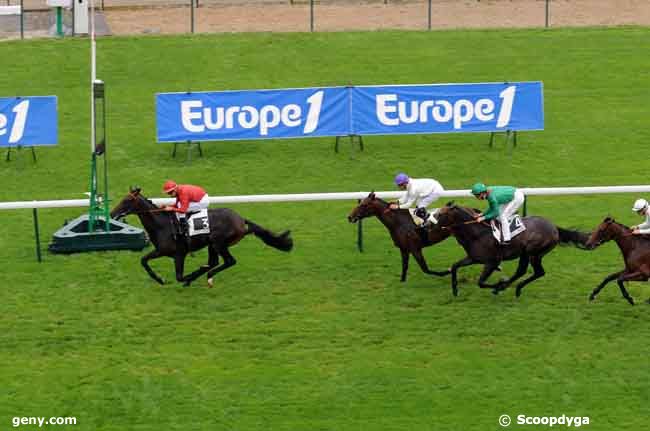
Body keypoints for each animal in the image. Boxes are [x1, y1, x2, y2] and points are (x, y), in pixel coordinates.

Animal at [110, 188, 292, 286]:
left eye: (126, 200)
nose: (112, 214)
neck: (163, 225)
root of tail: (241, 220)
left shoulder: (179, 253)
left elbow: (180, 276)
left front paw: (188, 278)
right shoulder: (161, 251)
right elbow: (143, 260)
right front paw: (159, 279)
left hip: (219, 243)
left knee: (228, 261)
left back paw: (208, 276)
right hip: (212, 244)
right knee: (214, 262)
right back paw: (205, 271)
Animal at [430, 202, 588, 296]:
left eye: (441, 214)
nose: (428, 225)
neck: (477, 233)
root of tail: (554, 227)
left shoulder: (492, 262)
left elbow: (480, 282)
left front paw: (499, 284)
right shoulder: (473, 258)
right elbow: (454, 266)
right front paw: (455, 289)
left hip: (534, 253)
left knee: (538, 272)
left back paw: (509, 287)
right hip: (525, 253)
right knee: (522, 271)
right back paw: (513, 287)